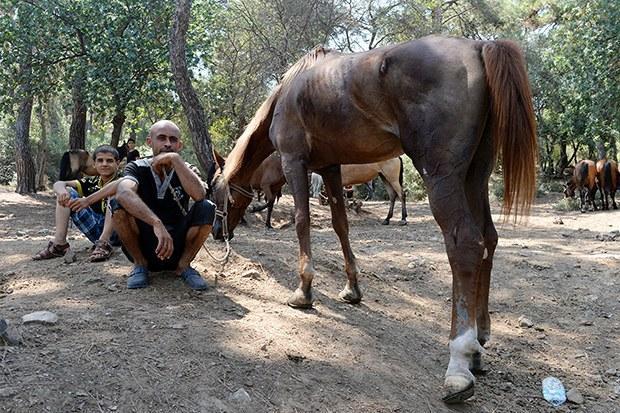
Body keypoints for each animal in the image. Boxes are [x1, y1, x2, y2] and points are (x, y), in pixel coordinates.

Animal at [209, 36, 536, 402]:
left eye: (216, 192)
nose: (217, 233)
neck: (289, 92)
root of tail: (479, 47)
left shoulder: (295, 163)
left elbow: (301, 221)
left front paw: (303, 291)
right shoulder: (330, 168)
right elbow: (340, 224)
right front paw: (352, 288)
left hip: (443, 177)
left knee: (465, 244)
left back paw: (460, 361)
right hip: (475, 175)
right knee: (489, 239)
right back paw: (480, 342)